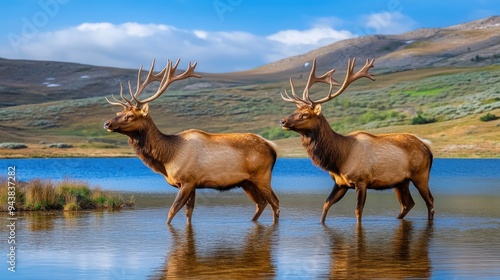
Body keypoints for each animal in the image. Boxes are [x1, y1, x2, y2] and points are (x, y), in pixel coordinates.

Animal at [103, 58, 280, 224]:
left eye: (130, 116)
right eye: (119, 112)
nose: (107, 123)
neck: (167, 158)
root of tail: (272, 147)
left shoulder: (188, 181)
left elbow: (172, 211)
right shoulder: (191, 184)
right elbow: (189, 213)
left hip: (262, 176)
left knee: (275, 203)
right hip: (246, 182)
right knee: (261, 203)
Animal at [280, 58, 436, 224]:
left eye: (305, 114)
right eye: (295, 111)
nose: (282, 121)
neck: (338, 159)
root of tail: (427, 148)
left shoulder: (362, 181)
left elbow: (358, 212)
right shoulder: (340, 183)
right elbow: (326, 205)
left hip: (421, 175)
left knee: (430, 201)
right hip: (401, 182)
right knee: (407, 204)